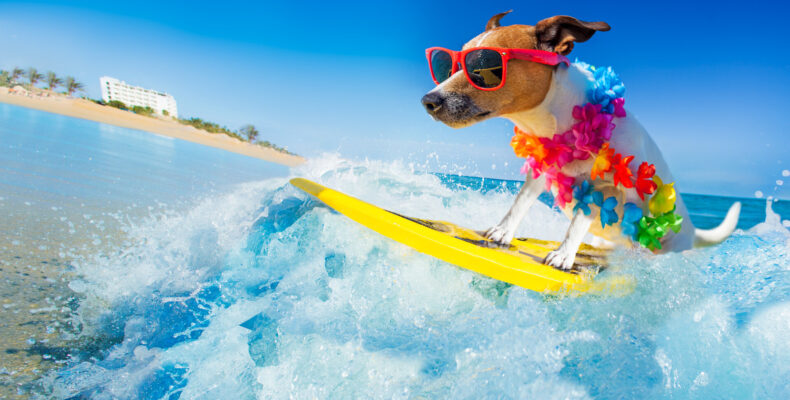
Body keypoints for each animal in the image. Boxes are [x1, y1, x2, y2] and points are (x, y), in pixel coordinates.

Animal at [420, 11, 744, 268]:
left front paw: (563, 255)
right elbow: (519, 203)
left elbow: (577, 223)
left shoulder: (605, 187)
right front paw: (502, 232)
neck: (561, 122)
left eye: (484, 66)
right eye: (449, 65)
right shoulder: (541, 171)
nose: (428, 101)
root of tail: (691, 229)